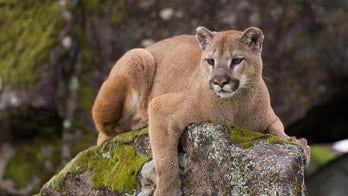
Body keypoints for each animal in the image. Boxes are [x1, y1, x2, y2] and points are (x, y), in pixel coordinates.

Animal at [92, 26, 310, 196]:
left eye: (236, 60)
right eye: (210, 61)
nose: (220, 81)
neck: (235, 105)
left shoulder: (270, 118)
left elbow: (278, 130)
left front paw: (297, 143)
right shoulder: (160, 107)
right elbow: (165, 160)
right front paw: (167, 191)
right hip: (137, 56)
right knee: (105, 130)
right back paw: (139, 122)